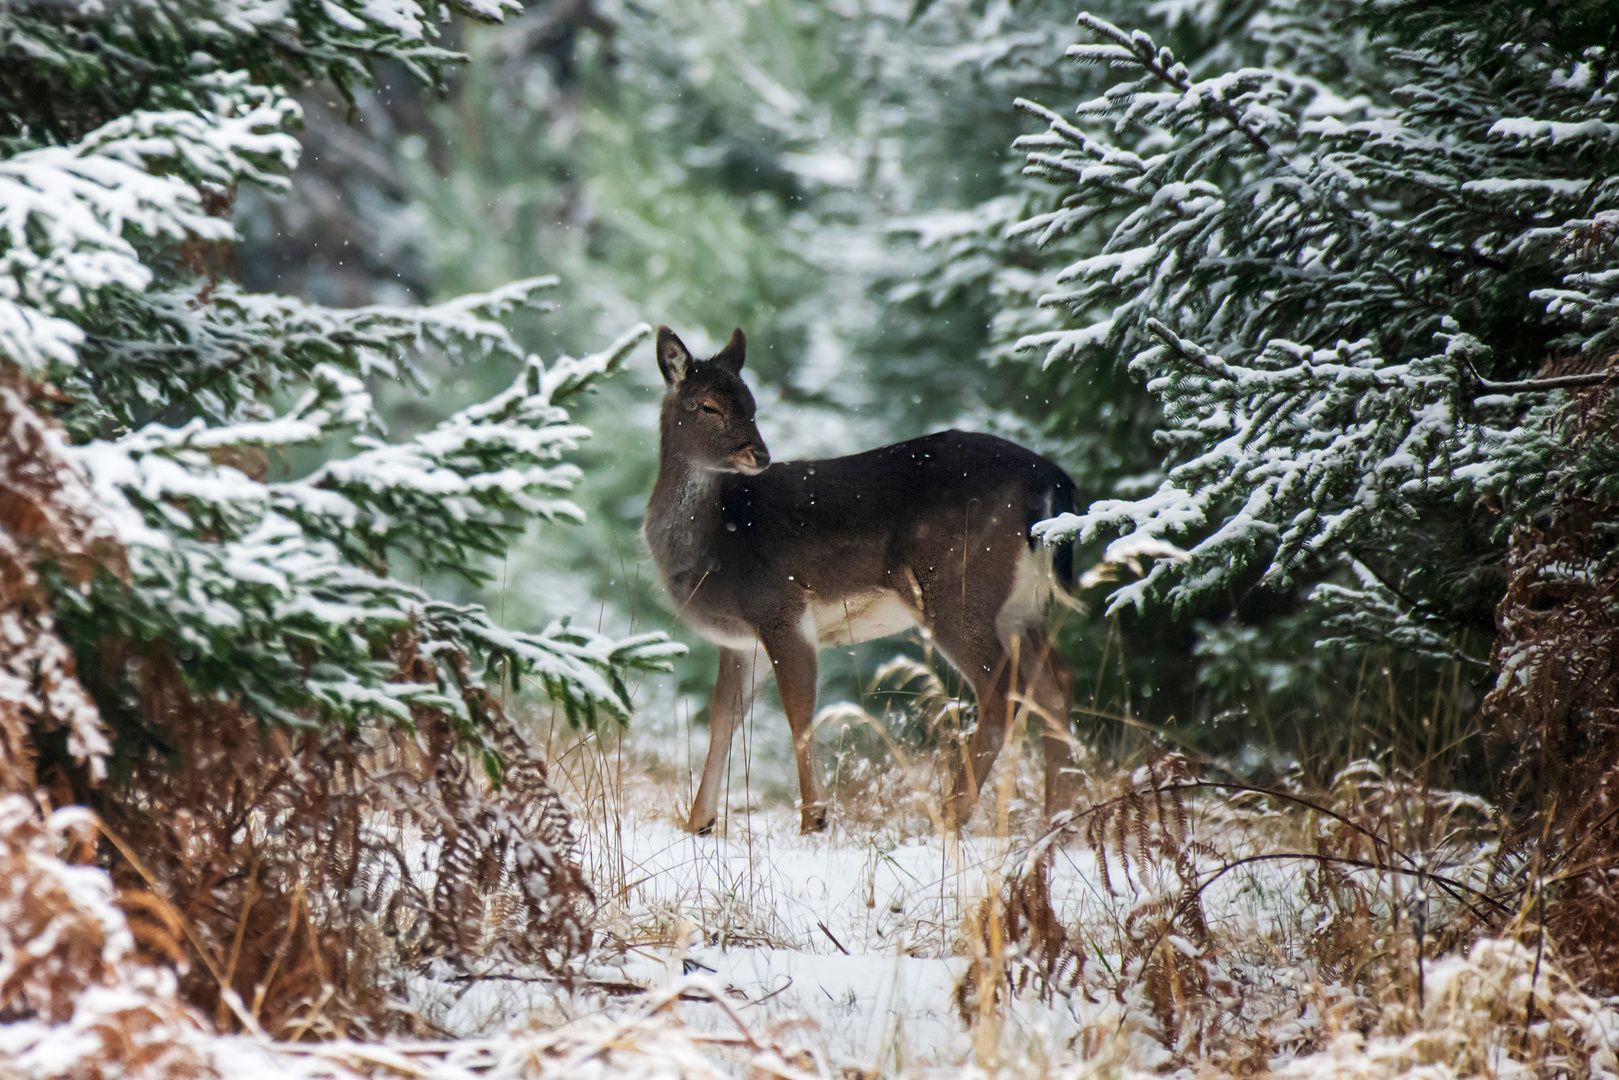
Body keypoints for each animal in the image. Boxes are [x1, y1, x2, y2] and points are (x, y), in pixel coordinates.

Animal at [641, 327, 1075, 835]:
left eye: (751, 404)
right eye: (708, 405)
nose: (759, 454)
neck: (715, 544)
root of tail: (1051, 480)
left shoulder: (781, 605)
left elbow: (799, 713)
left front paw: (814, 820)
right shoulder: (739, 640)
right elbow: (722, 719)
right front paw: (699, 824)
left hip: (959, 589)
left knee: (1005, 686)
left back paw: (952, 813)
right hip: (1019, 603)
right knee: (1055, 684)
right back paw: (1059, 819)